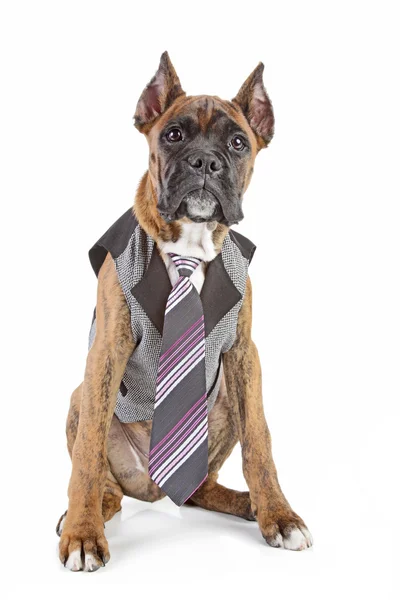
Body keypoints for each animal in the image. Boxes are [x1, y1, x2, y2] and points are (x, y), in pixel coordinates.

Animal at [56, 51, 312, 572]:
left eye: (238, 143)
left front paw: (278, 514)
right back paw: (91, 511)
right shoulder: (106, 352)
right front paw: (82, 534)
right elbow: (87, 453)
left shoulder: (243, 354)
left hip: (224, 402)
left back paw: (246, 504)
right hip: (79, 397)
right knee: (103, 479)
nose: (206, 162)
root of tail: (153, 489)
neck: (189, 245)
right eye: (173, 134)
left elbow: (261, 443)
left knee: (199, 488)